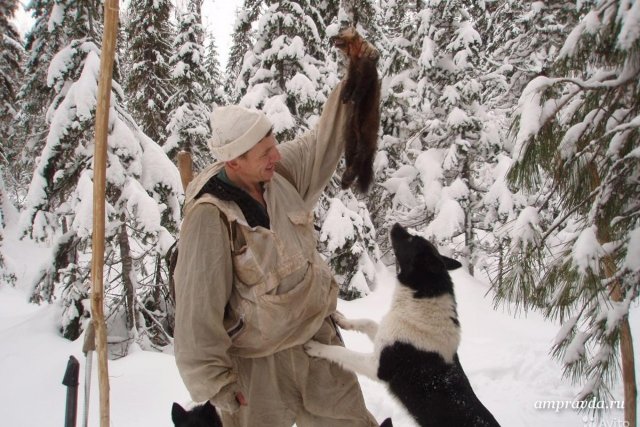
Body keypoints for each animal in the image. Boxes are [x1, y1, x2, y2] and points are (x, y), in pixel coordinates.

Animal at [304, 224, 500, 427]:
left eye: (411, 239)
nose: (396, 224)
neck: (421, 300)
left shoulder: (376, 366)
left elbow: (342, 352)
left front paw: (317, 348)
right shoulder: (385, 336)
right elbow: (367, 322)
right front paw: (341, 318)